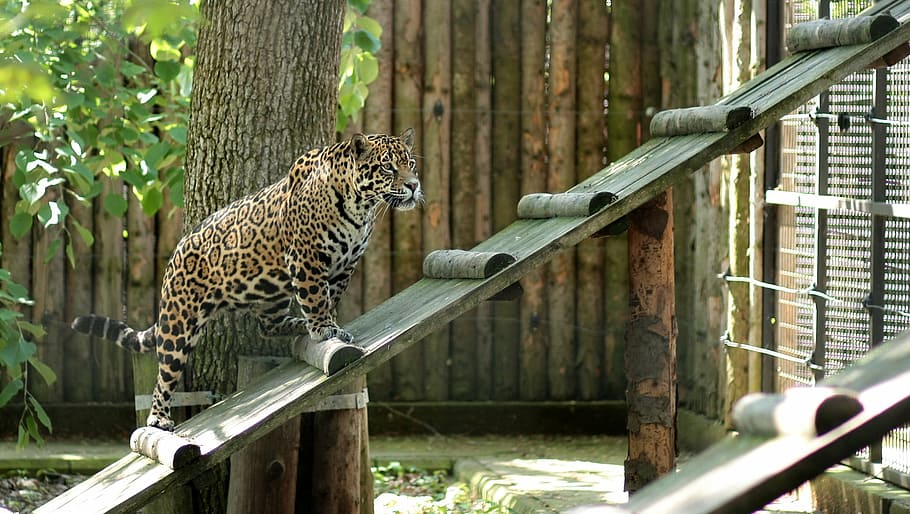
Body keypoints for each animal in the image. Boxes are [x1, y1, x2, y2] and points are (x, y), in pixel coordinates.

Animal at [72, 129, 422, 431]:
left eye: (412, 163)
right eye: (388, 167)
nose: (414, 186)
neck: (361, 206)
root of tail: (175, 256)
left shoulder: (344, 266)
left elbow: (329, 297)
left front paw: (326, 326)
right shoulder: (306, 258)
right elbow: (316, 297)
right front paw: (324, 329)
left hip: (272, 295)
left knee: (267, 326)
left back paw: (296, 325)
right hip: (179, 322)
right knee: (165, 373)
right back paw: (158, 419)